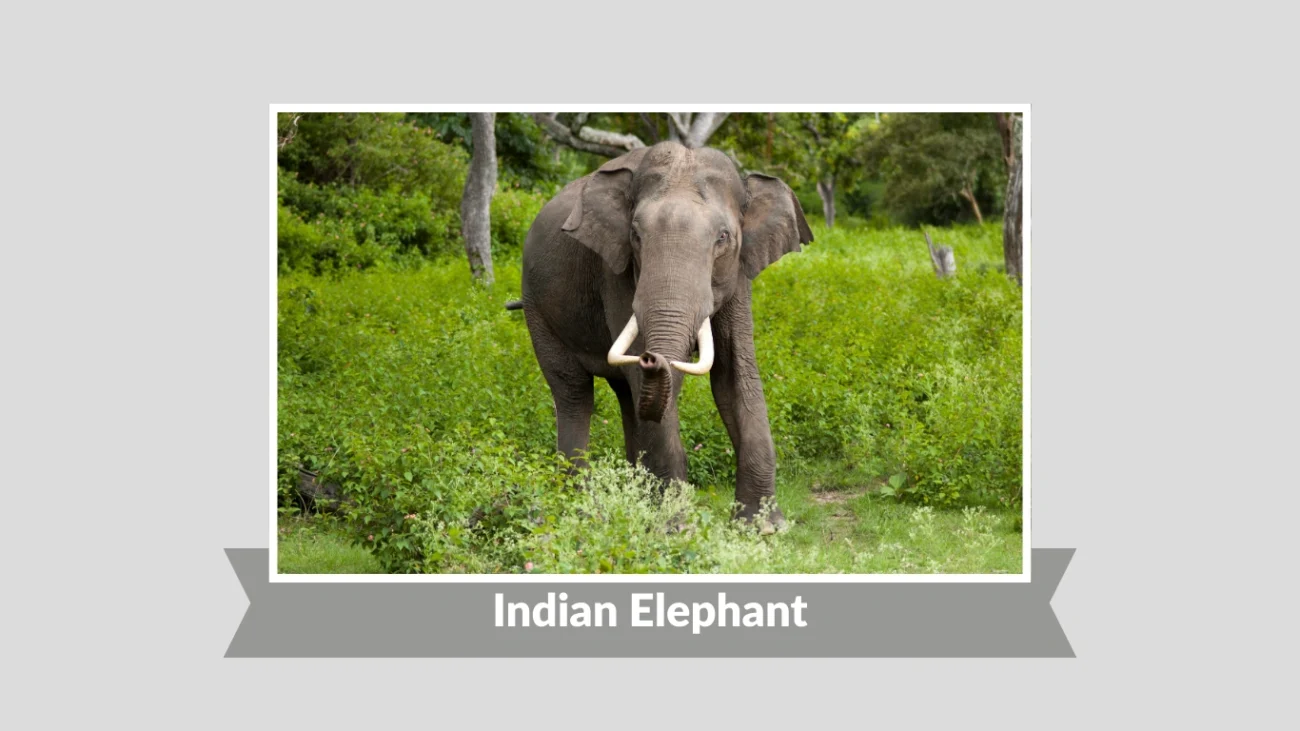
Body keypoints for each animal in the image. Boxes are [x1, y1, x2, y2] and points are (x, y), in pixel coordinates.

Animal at [515, 140, 812, 531]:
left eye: (723, 238)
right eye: (636, 236)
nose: (652, 357)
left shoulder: (739, 274)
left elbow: (735, 375)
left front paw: (763, 528)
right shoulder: (616, 271)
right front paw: (675, 528)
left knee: (627, 396)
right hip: (537, 307)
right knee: (574, 393)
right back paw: (579, 507)